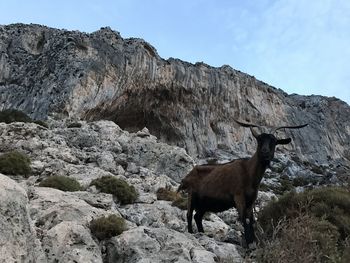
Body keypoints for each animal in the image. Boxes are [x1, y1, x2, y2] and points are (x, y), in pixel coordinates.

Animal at [182, 119, 308, 248]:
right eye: (259, 140)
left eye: (274, 141)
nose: (265, 152)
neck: (248, 172)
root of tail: (191, 172)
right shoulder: (238, 197)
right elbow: (244, 219)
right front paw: (249, 245)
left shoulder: (251, 200)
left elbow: (251, 220)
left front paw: (253, 243)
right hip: (192, 195)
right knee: (189, 214)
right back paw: (191, 232)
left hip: (205, 203)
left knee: (197, 216)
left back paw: (202, 233)